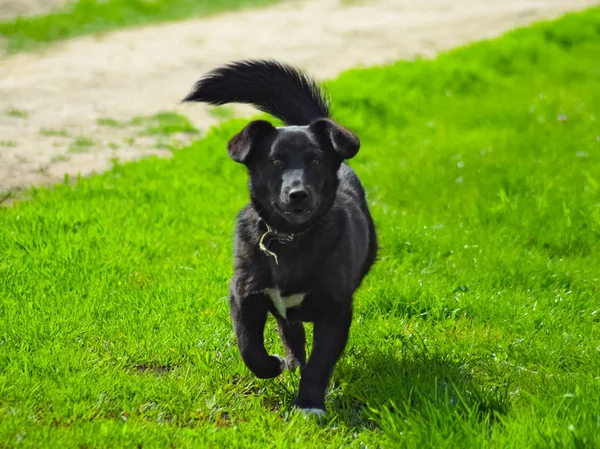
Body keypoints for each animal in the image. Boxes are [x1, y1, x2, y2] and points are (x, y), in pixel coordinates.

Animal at [185, 59, 378, 412]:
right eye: (275, 161)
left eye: (316, 160)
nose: (298, 194)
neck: (290, 239)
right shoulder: (243, 295)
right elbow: (249, 348)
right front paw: (274, 365)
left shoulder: (336, 309)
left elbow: (320, 363)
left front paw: (309, 405)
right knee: (291, 332)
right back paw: (291, 362)